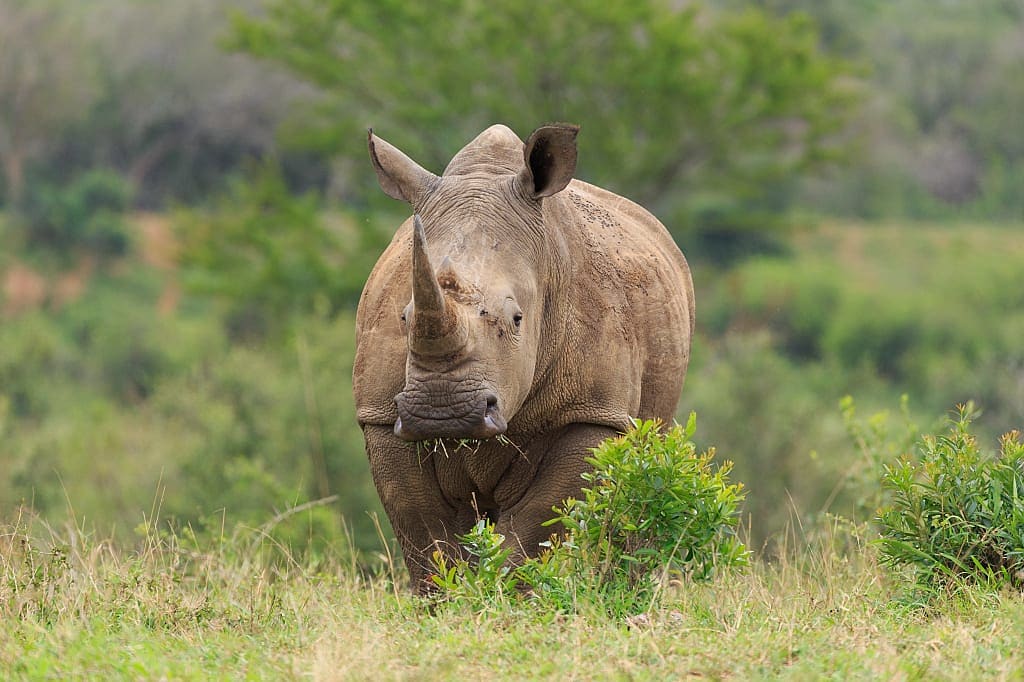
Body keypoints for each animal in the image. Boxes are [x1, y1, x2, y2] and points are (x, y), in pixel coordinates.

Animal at [353, 123, 694, 592]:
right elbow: (425, 536)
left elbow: (536, 528)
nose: (442, 412)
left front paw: (504, 599)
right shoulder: (382, 416)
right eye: (403, 318)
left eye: (517, 319)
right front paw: (448, 602)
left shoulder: (591, 412)